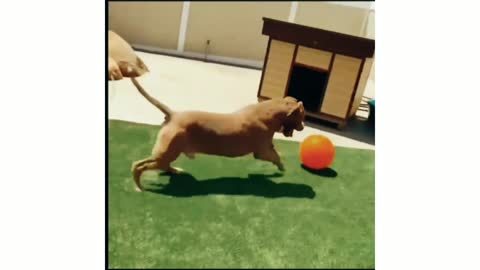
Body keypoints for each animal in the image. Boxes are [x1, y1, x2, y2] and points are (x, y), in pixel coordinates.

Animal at [130, 77, 304, 192]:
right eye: (302, 117)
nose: (303, 128)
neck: (268, 112)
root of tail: (173, 115)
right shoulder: (262, 152)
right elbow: (275, 157)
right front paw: (281, 167)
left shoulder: (267, 146)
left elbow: (276, 154)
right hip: (167, 152)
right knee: (140, 166)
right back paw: (140, 187)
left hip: (167, 153)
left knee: (149, 164)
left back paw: (173, 171)